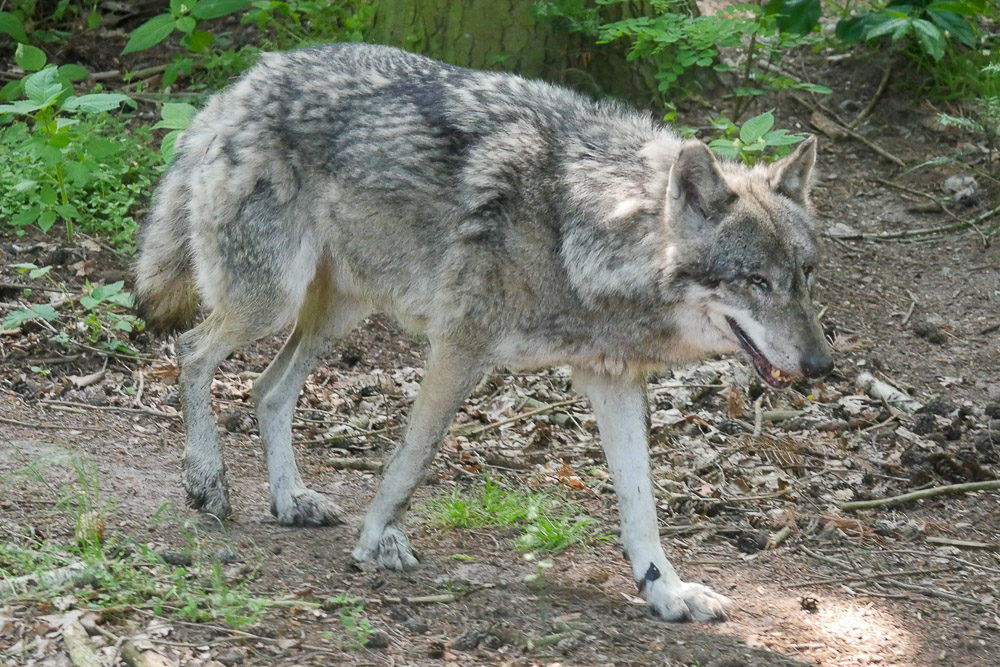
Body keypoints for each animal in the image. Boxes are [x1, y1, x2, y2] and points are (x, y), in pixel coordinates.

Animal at [135, 44, 836, 624]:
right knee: (190, 352)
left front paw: (664, 591)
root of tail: (244, 81)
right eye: (755, 281)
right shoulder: (459, 349)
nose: (822, 365)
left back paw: (290, 499)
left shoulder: (611, 380)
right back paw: (209, 482)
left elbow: (642, 505)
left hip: (337, 314)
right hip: (271, 301)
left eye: (804, 276)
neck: (577, 231)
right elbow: (410, 460)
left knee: (267, 388)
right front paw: (376, 541)